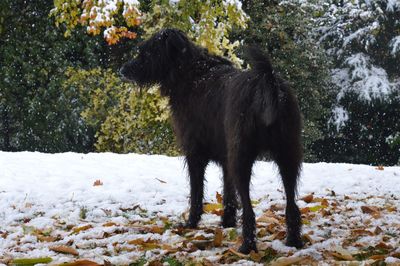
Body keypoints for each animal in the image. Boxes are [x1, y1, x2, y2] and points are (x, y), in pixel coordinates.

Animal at [120, 29, 302, 254]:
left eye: (146, 52)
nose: (123, 70)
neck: (190, 73)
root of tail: (267, 82)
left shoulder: (195, 154)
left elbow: (196, 190)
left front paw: (191, 222)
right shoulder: (226, 158)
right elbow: (228, 192)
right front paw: (227, 222)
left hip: (242, 158)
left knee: (249, 209)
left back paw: (247, 245)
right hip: (288, 156)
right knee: (292, 204)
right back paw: (293, 241)